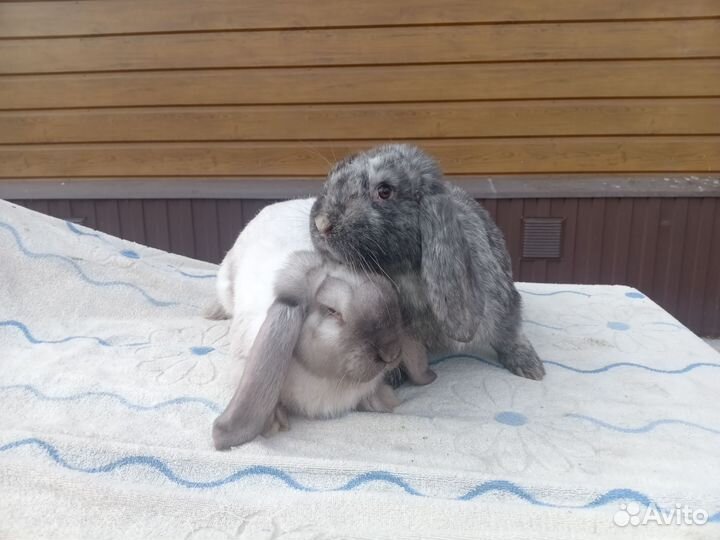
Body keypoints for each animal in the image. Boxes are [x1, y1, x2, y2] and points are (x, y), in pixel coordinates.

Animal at [211, 249, 435, 450]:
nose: (391, 353)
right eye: (332, 311)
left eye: (390, 293)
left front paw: (384, 401)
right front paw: (275, 422)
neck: (328, 379)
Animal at [309, 144, 545, 381]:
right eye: (330, 179)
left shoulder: (503, 306)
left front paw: (530, 367)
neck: (406, 275)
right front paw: (392, 376)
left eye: (385, 191)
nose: (322, 224)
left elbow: (510, 334)